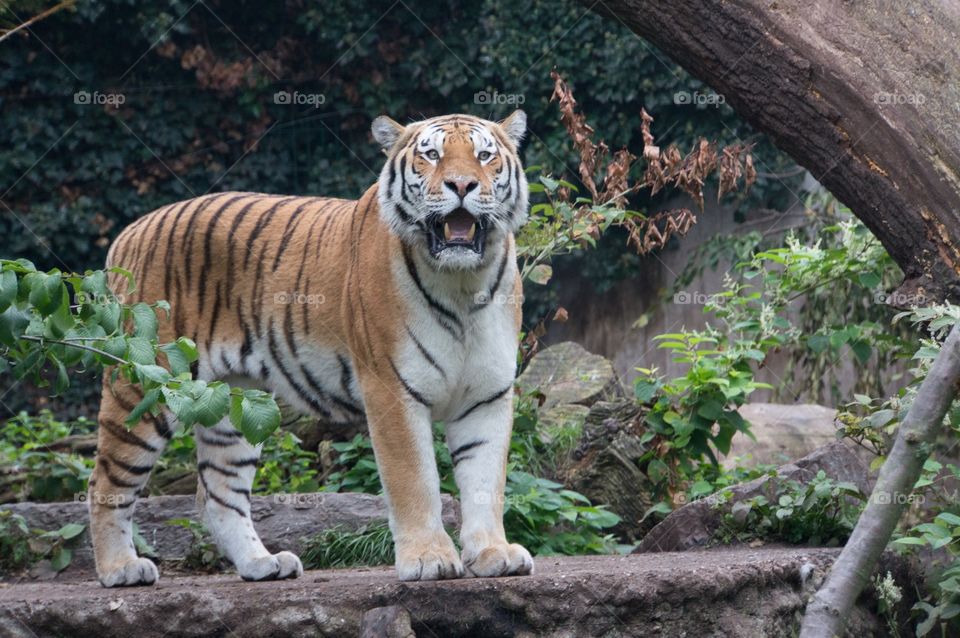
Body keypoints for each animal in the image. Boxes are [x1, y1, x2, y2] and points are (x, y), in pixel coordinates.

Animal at [87, 110, 534, 586]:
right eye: (431, 155)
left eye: (484, 156)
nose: (462, 185)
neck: (463, 284)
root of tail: (129, 233)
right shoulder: (392, 390)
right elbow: (415, 481)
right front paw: (429, 558)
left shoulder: (487, 395)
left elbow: (485, 482)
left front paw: (493, 553)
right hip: (146, 385)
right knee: (105, 483)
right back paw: (121, 568)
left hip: (236, 404)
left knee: (217, 495)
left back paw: (262, 564)